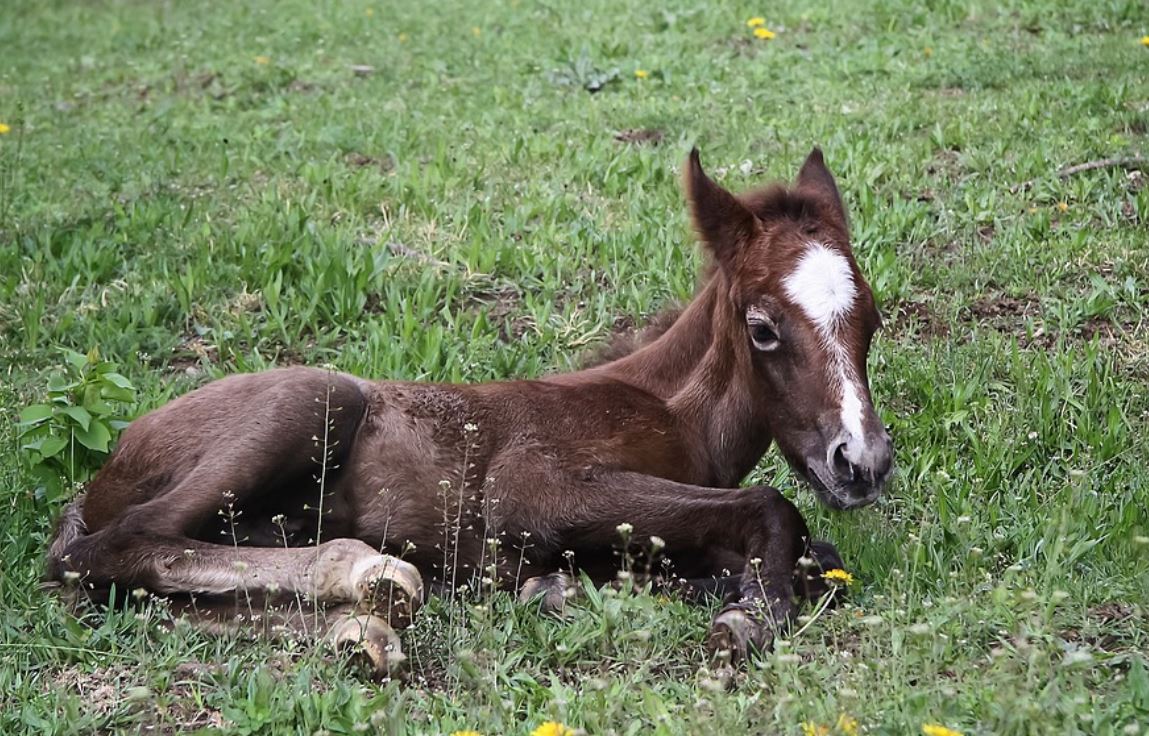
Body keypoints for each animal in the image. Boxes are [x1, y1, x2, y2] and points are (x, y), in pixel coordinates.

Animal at [45, 147, 893, 674]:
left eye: (872, 319)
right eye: (763, 328)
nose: (861, 462)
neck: (669, 410)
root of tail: (103, 472)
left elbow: (814, 557)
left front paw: (574, 587)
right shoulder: (531, 489)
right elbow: (773, 507)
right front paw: (745, 617)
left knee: (147, 595)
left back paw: (362, 629)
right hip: (314, 398)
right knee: (112, 550)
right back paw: (366, 573)